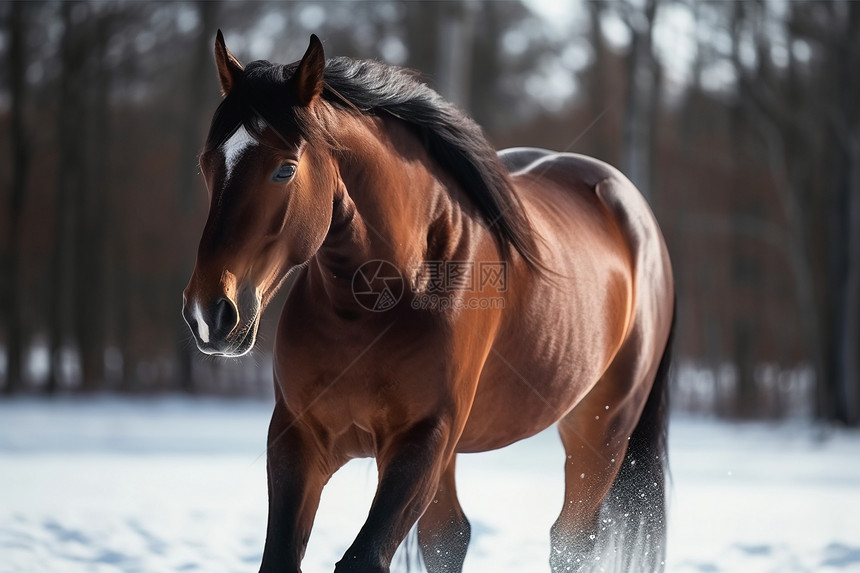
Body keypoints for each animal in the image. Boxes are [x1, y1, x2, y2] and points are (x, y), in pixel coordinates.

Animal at [185, 32, 676, 572]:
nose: (208, 313)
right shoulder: (299, 438)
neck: (378, 300)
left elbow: (362, 558)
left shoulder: (422, 441)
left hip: (601, 431)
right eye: (207, 163)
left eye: (285, 169)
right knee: (452, 537)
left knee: (571, 542)